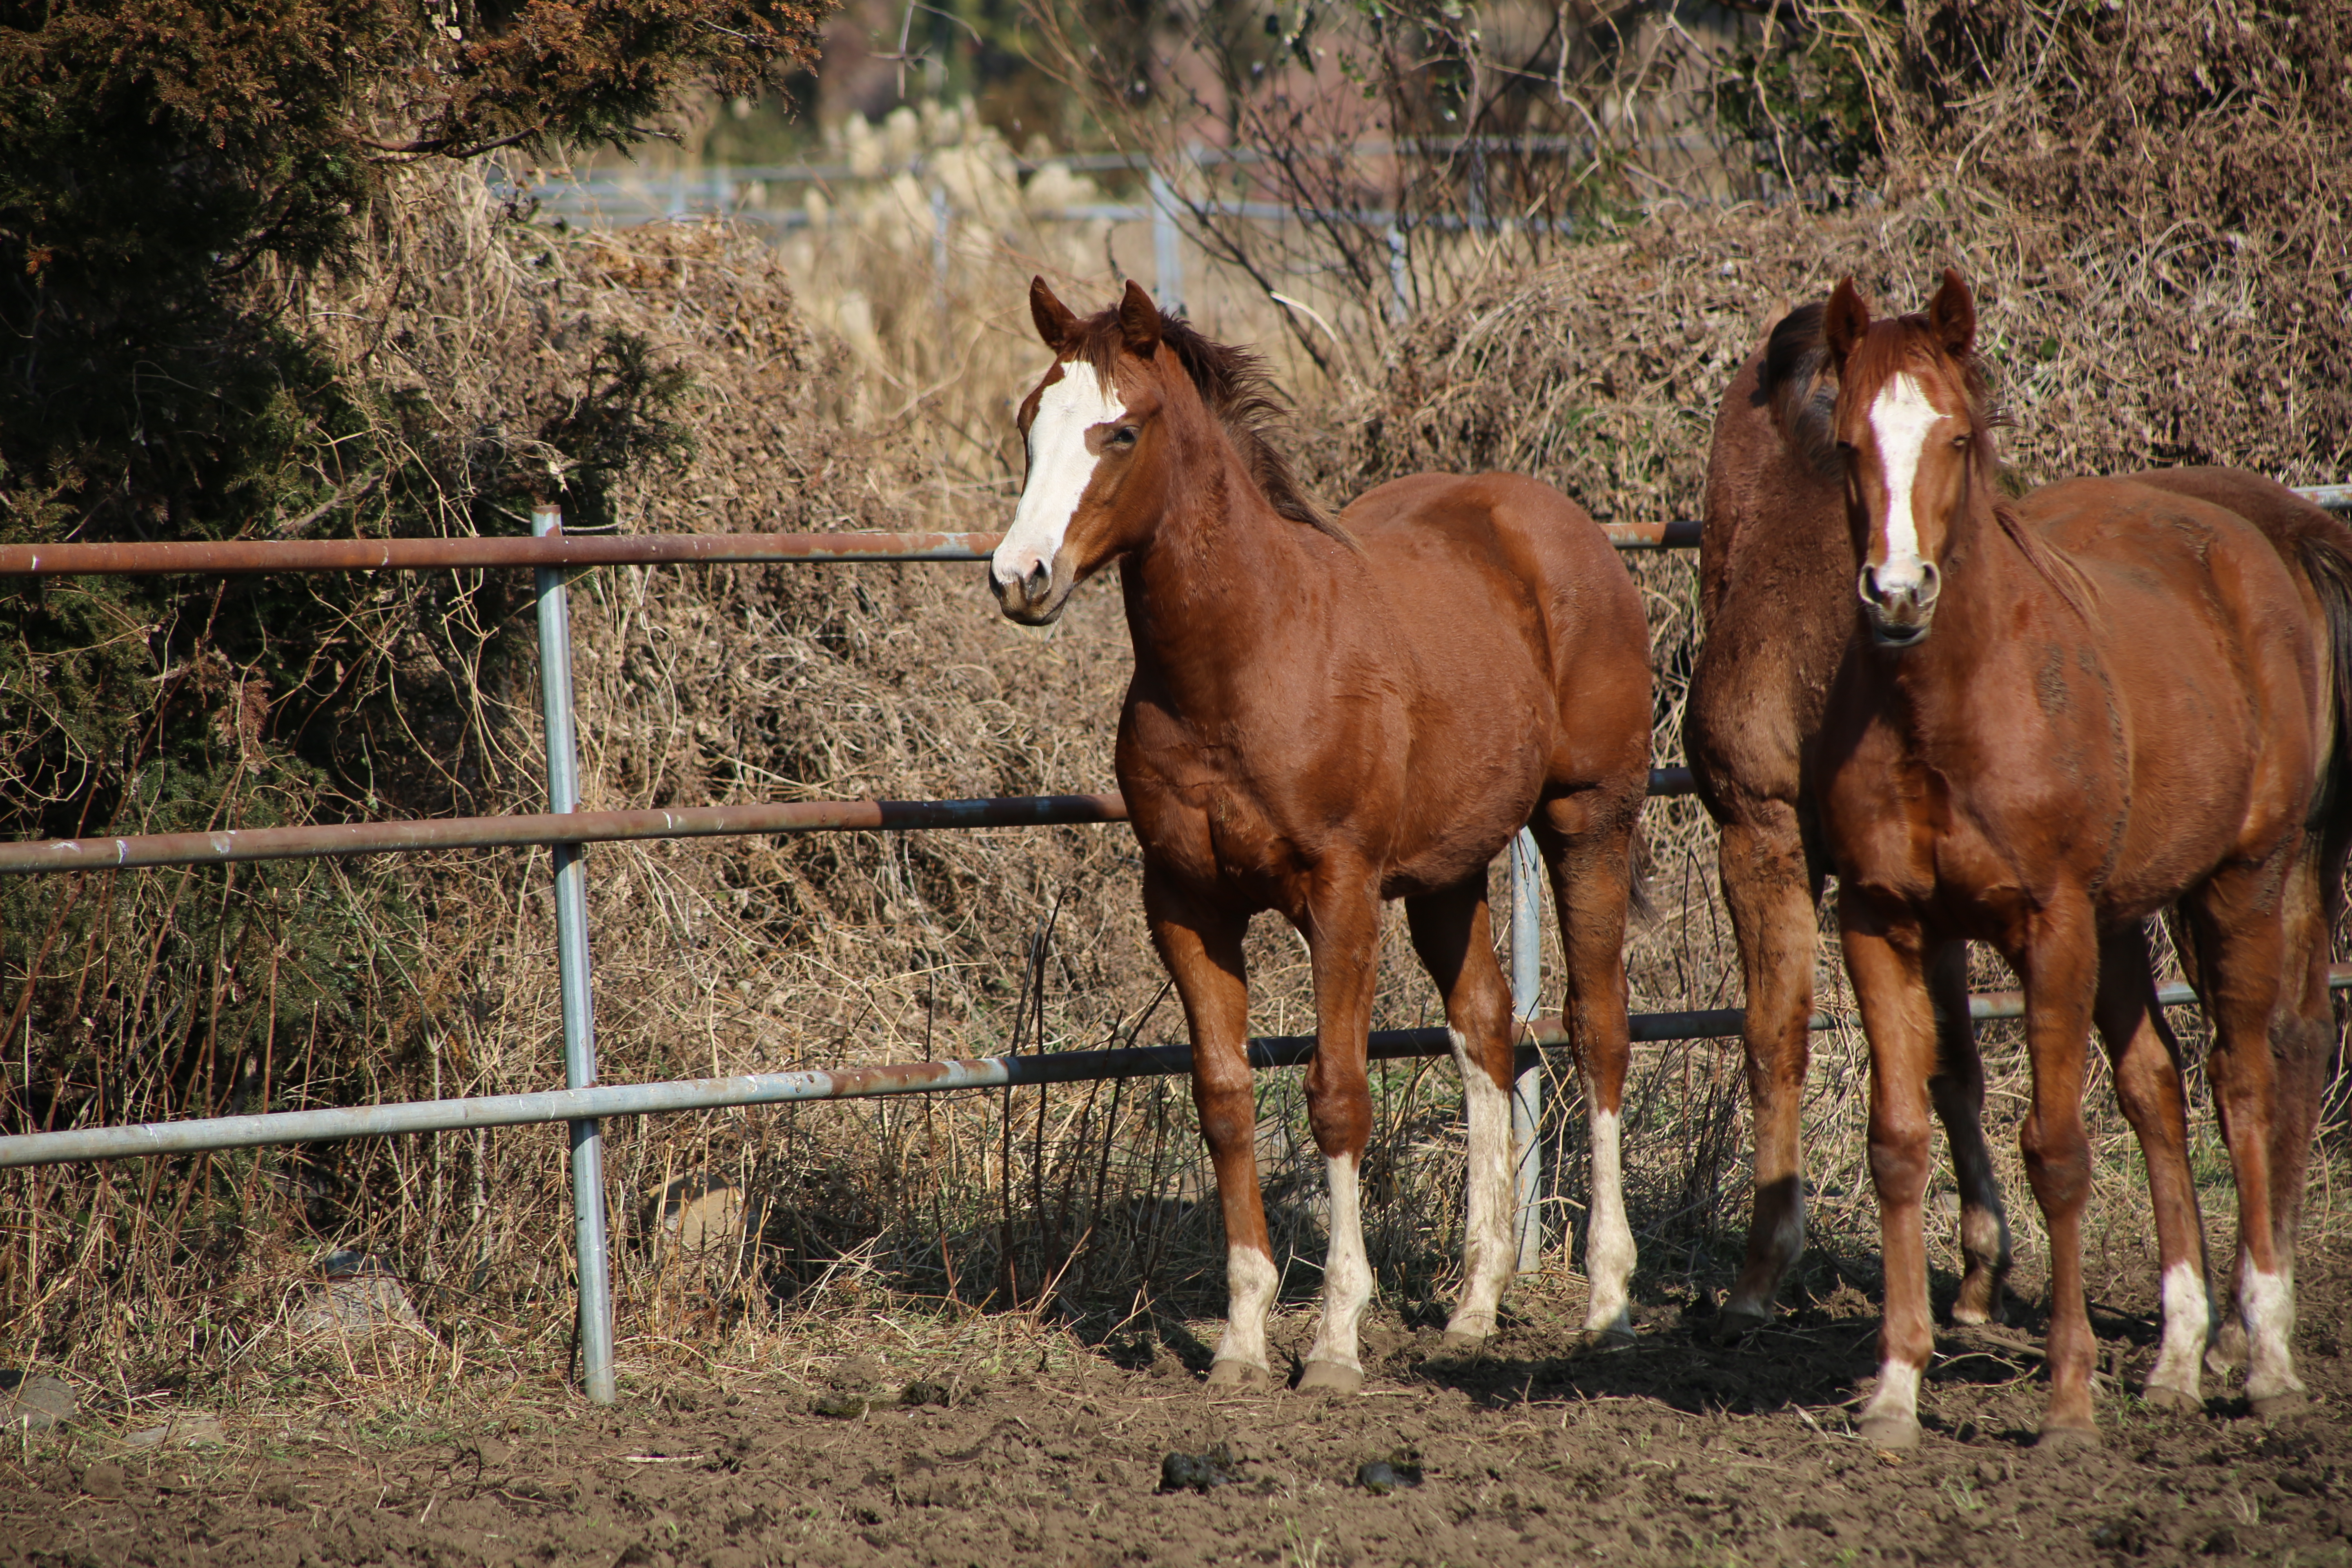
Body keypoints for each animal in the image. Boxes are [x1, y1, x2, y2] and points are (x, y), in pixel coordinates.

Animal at [992, 282, 1656, 1401]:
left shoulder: (1339, 895)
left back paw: (1607, 1303)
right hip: (1447, 872)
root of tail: (1562, 525)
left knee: (1596, 1025)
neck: (1248, 654)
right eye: (1027, 421)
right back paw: (1472, 1310)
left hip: (1586, 821)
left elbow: (1336, 1095)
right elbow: (1223, 1098)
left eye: (1119, 430)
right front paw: (1240, 1337)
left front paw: (1337, 1338)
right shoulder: (1184, 902)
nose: (1019, 576)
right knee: (1485, 1028)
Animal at [1797, 272, 2333, 1448]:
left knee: (2244, 1079)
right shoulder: (1879, 922)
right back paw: (2176, 1361)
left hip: (2243, 882)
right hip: (2128, 917)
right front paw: (1896, 1389)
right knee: (2159, 1091)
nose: (1897, 595)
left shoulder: (2051, 924)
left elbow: (2056, 1151)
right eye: (1846, 443)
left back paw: (2266, 1356)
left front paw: (2069, 1398)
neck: (1949, 705)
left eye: (1956, 436)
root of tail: (2252, 543)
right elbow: (1898, 1142)